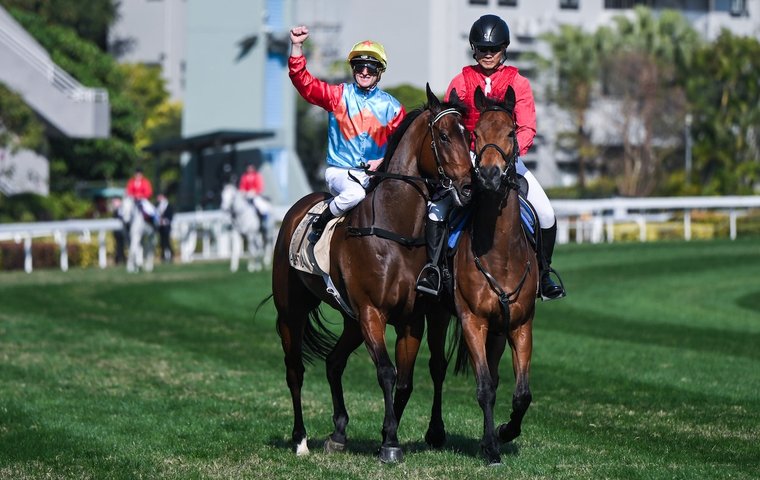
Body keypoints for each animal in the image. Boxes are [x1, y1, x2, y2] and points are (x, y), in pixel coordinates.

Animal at [271, 85, 474, 462]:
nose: (469, 187)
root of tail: (296, 209)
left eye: (467, 135)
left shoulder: (410, 320)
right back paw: (300, 439)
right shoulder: (371, 313)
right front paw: (390, 443)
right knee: (295, 371)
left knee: (333, 362)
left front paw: (387, 436)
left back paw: (338, 433)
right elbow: (386, 372)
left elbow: (405, 380)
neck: (393, 232)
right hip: (293, 312)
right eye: (443, 136)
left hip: (350, 321)